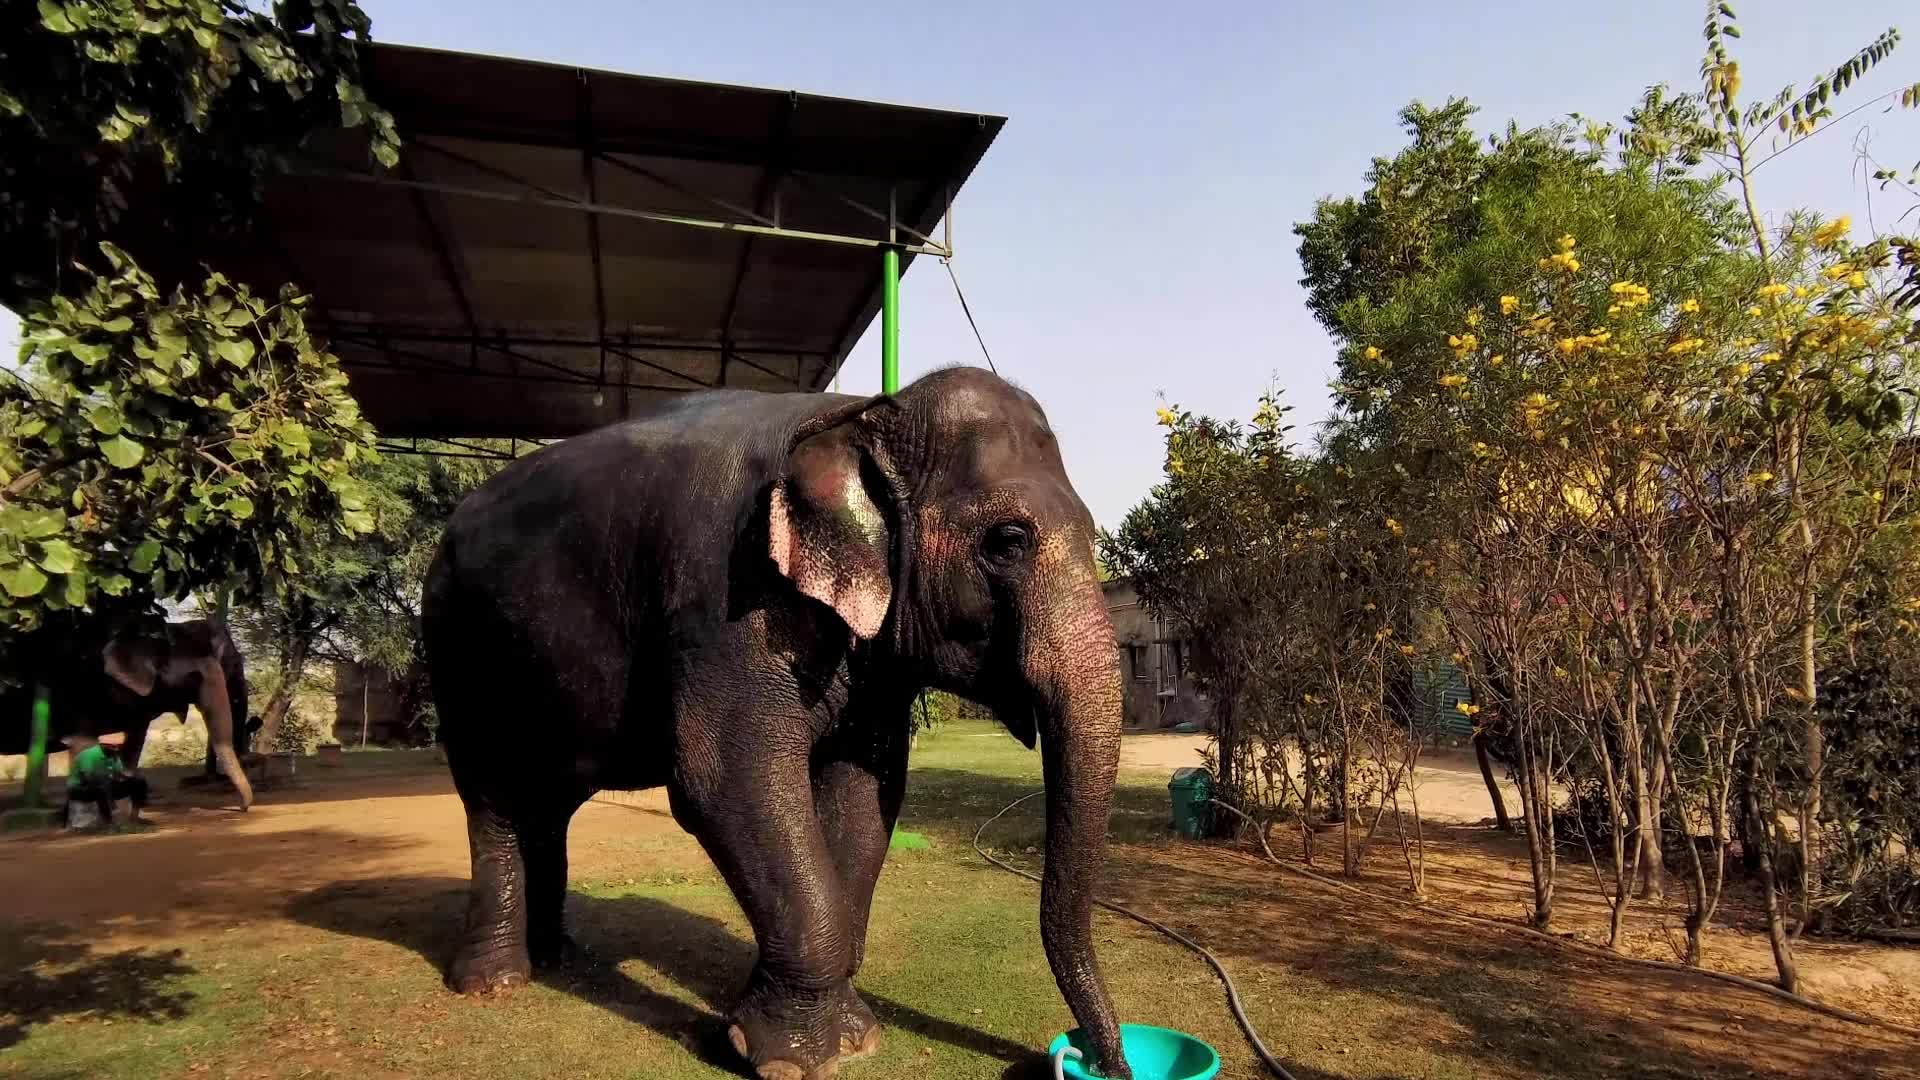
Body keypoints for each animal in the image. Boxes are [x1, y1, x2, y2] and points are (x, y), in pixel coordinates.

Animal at [421, 367, 1132, 1080]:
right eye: (1009, 541)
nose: (1104, 1063)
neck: (859, 415)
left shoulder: (865, 660)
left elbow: (865, 789)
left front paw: (843, 1036)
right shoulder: (725, 598)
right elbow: (725, 782)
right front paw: (788, 1058)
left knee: (549, 803)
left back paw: (556, 959)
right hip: (457, 656)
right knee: (493, 797)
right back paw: (493, 981)